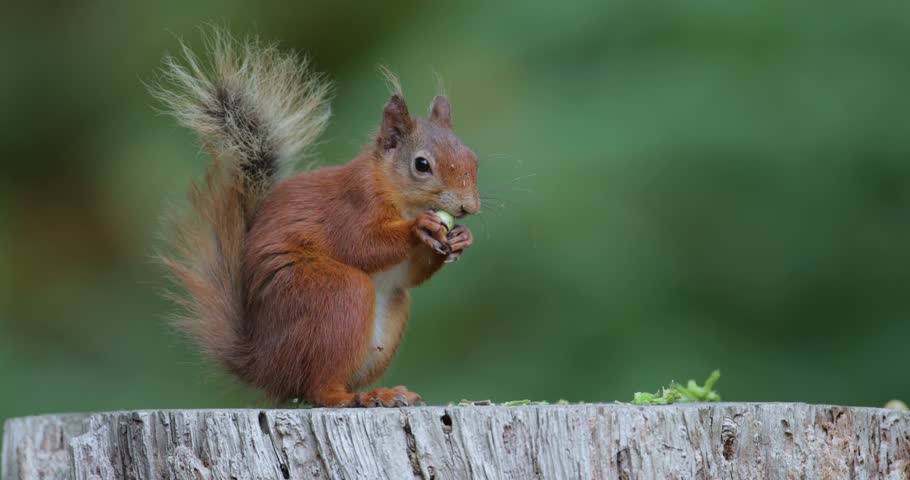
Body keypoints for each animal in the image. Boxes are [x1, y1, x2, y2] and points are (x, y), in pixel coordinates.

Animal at [154, 30, 479, 407]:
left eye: (473, 159)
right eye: (422, 164)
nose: (469, 207)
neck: (398, 194)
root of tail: (263, 366)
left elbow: (410, 275)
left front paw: (462, 238)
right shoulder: (352, 204)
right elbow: (360, 245)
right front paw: (419, 228)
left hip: (388, 316)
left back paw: (384, 392)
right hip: (333, 295)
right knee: (318, 388)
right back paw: (355, 397)